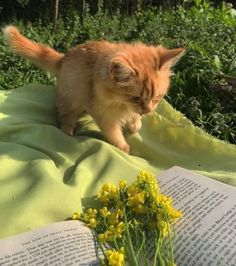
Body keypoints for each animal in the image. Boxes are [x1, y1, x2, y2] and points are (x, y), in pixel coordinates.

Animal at [2, 25, 185, 154]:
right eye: (136, 98)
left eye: (156, 98)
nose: (147, 111)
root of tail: (63, 59)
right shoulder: (102, 113)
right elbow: (114, 133)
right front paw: (124, 147)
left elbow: (135, 121)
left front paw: (134, 125)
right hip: (71, 96)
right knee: (64, 116)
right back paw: (68, 130)